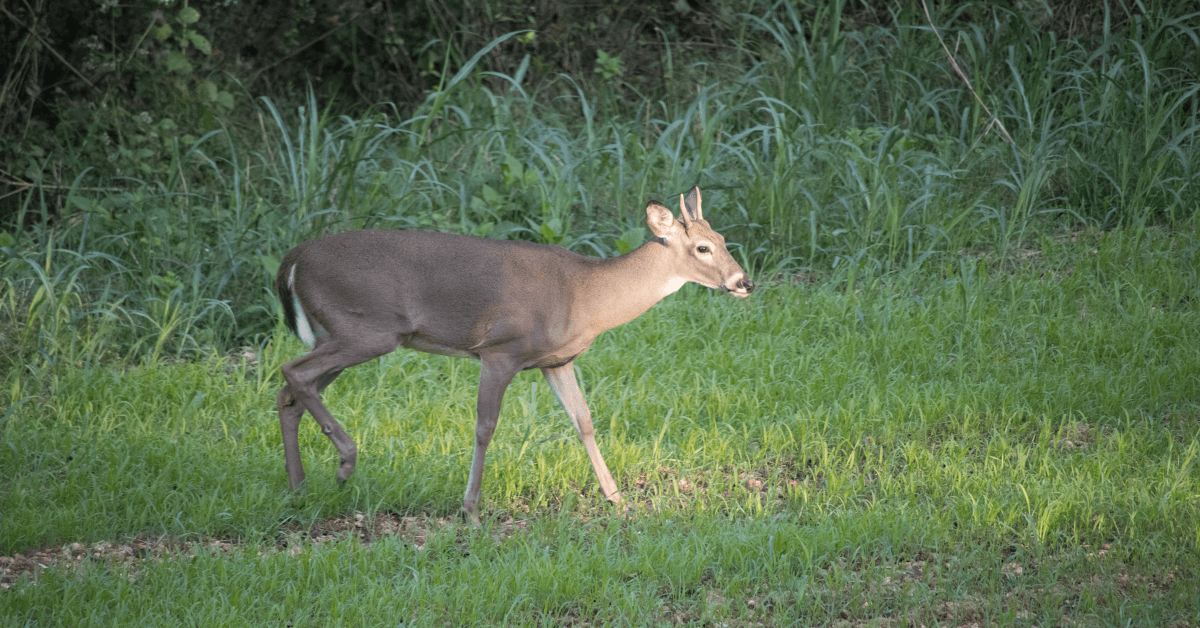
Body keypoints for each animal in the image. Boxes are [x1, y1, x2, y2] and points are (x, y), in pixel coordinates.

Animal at [274, 186, 754, 523]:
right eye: (703, 248)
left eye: (723, 237)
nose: (744, 282)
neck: (587, 296)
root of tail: (291, 260)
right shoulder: (499, 351)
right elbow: (485, 427)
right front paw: (470, 510)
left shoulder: (557, 361)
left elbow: (583, 421)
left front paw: (617, 499)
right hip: (365, 329)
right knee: (292, 371)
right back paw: (344, 462)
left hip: (337, 333)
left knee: (291, 391)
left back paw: (299, 489)